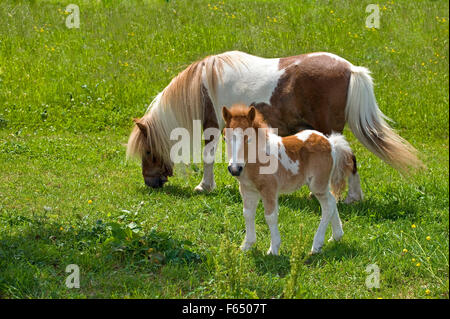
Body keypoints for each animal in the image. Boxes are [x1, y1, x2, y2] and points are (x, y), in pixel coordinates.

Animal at [126, 50, 422, 195]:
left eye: (148, 151)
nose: (151, 183)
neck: (202, 83)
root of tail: (350, 68)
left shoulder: (212, 126)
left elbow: (209, 156)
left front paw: (204, 187)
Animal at [223, 106, 360, 256]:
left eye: (249, 139)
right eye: (225, 139)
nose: (235, 169)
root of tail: (331, 143)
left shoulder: (269, 189)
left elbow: (270, 216)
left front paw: (273, 250)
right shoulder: (247, 190)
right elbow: (247, 214)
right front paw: (246, 246)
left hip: (317, 184)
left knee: (328, 205)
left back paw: (317, 245)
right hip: (320, 185)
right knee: (332, 200)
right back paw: (336, 236)